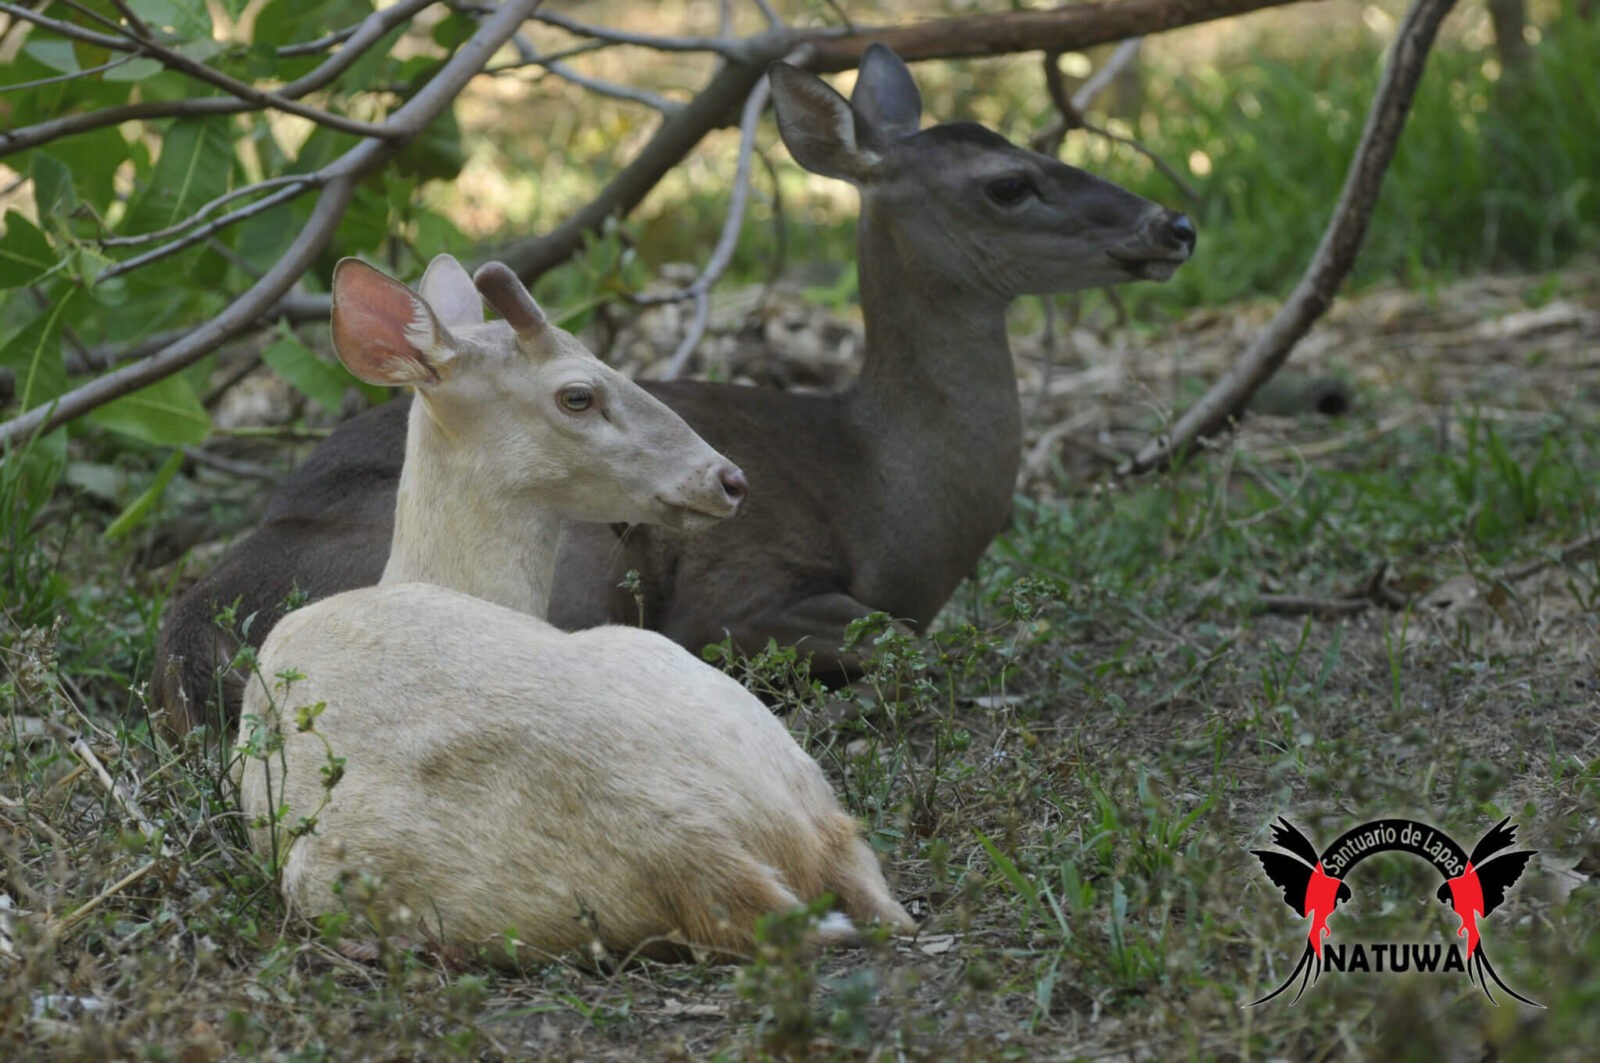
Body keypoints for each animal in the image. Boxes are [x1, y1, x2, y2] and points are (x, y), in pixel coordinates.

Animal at [156, 47, 1196, 730]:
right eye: (1008, 183)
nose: (1173, 223)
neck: (886, 487)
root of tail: (196, 635)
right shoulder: (737, 589)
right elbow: (910, 645)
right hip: (583, 564)